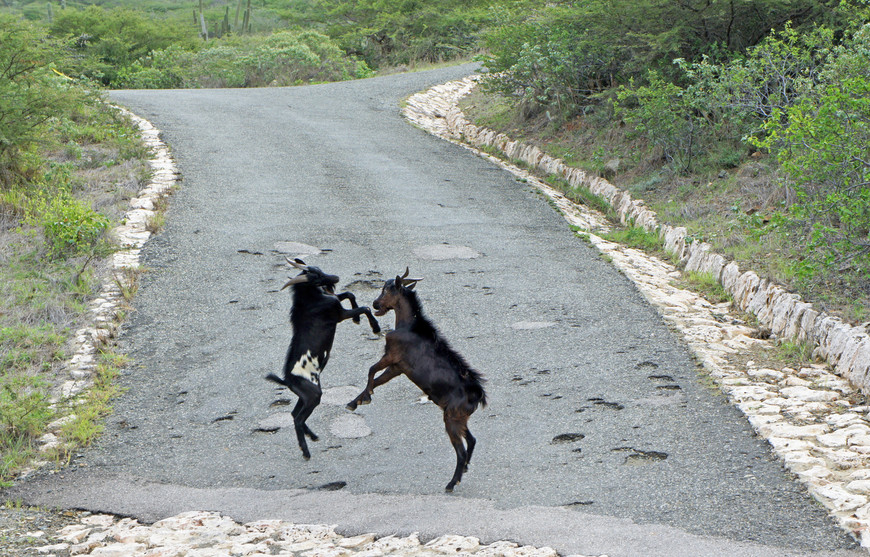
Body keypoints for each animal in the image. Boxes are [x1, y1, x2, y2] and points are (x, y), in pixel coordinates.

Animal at [268, 258, 380, 458]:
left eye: (319, 270)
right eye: (315, 278)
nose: (335, 278)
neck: (310, 300)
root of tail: (287, 380)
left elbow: (349, 293)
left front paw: (357, 319)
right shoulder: (338, 314)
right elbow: (365, 308)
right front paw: (375, 327)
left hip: (305, 396)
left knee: (294, 415)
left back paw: (312, 437)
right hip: (313, 396)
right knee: (298, 419)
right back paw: (305, 451)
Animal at [348, 270, 488, 490]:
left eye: (386, 289)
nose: (376, 304)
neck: (408, 325)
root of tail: (478, 395)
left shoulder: (391, 356)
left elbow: (371, 371)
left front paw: (366, 397)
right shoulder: (398, 368)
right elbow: (377, 379)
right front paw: (355, 402)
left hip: (451, 418)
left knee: (461, 450)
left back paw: (452, 483)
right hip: (459, 418)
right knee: (472, 440)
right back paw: (464, 469)